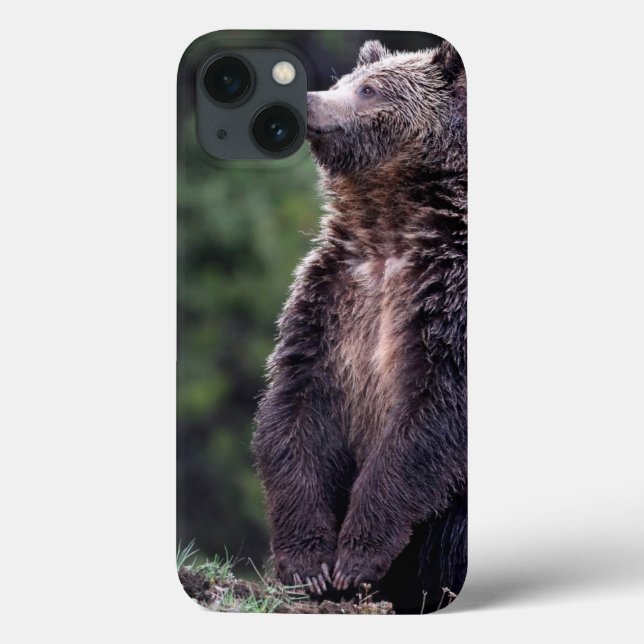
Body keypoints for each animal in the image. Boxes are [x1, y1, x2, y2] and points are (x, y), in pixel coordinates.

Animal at [252, 38, 467, 614]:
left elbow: (426, 422)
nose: (306, 99)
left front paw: (356, 559)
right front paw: (308, 565)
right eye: (344, 79)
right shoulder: (331, 302)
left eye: (369, 89)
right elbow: (293, 412)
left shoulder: (444, 306)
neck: (388, 227)